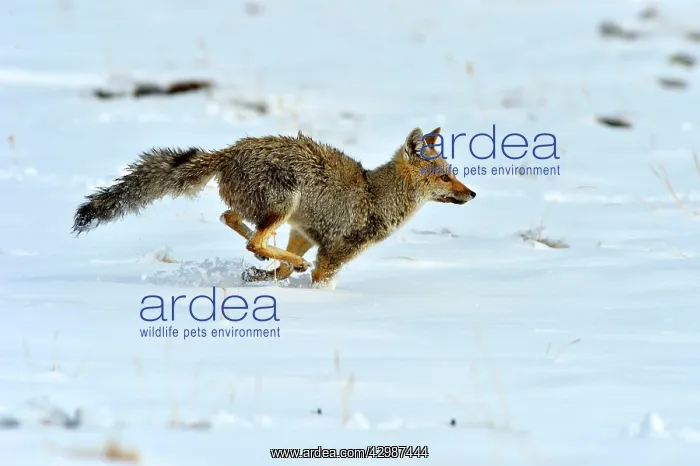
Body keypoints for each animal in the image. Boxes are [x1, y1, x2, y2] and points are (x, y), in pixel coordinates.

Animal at [72, 126, 476, 285]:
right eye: (445, 178)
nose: (472, 194)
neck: (375, 195)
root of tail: (229, 151)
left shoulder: (304, 234)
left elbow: (280, 270)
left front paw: (266, 276)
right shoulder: (331, 256)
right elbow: (315, 278)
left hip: (275, 213)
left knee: (234, 220)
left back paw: (270, 263)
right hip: (282, 205)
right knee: (254, 239)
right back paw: (283, 260)